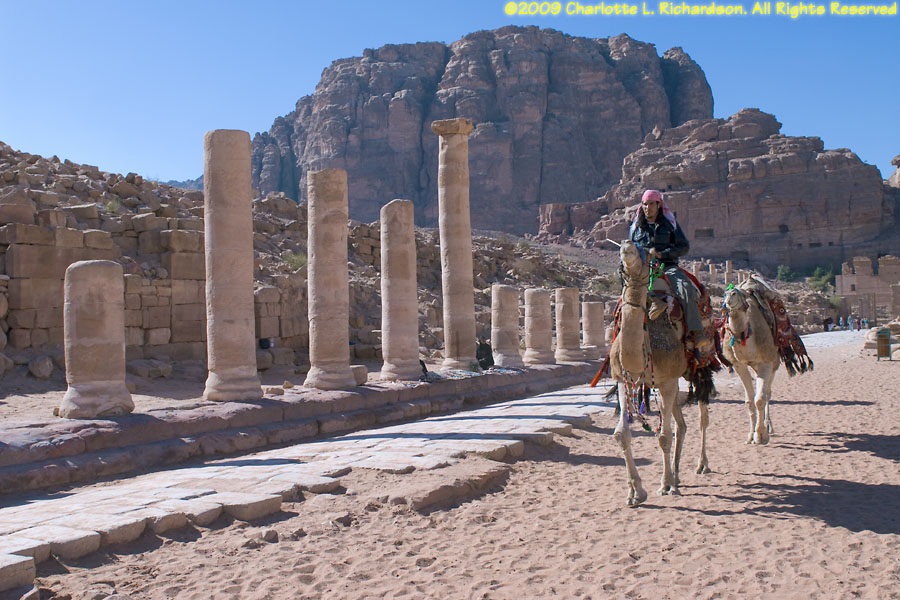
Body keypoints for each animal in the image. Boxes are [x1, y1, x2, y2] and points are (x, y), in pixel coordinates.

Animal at [608, 240, 712, 507]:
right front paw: (635, 492)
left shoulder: (666, 381)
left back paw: (701, 466)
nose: (627, 246)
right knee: (681, 424)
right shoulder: (624, 380)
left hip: (699, 368)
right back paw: (677, 475)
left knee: (701, 418)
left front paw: (664, 485)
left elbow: (664, 436)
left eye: (645, 251)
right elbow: (621, 434)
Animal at [721, 281, 781, 445]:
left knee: (768, 394)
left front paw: (760, 436)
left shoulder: (766, 362)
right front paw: (750, 435)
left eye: (735, 293)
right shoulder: (739, 365)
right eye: (725, 293)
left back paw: (769, 427)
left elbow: (760, 399)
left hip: (774, 364)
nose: (728, 301)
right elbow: (749, 400)